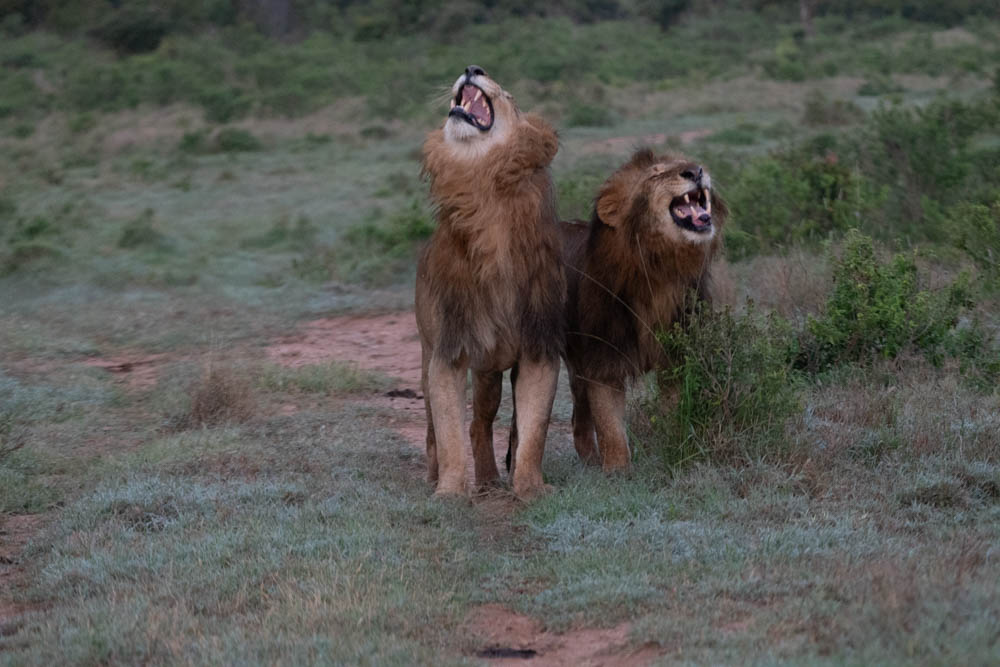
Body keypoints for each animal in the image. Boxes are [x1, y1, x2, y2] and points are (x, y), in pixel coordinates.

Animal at [416, 65, 565, 499]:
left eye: (509, 96)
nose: (472, 68)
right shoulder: (447, 352)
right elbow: (448, 433)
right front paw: (448, 493)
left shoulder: (539, 347)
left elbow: (533, 431)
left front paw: (530, 488)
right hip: (429, 355)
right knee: (437, 429)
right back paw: (439, 477)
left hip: (489, 373)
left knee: (480, 424)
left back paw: (487, 481)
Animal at [557, 148, 727, 470]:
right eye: (655, 173)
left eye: (686, 161)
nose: (696, 171)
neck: (657, 270)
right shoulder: (603, 358)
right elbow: (610, 426)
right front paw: (617, 471)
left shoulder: (676, 356)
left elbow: (674, 408)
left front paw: (675, 445)